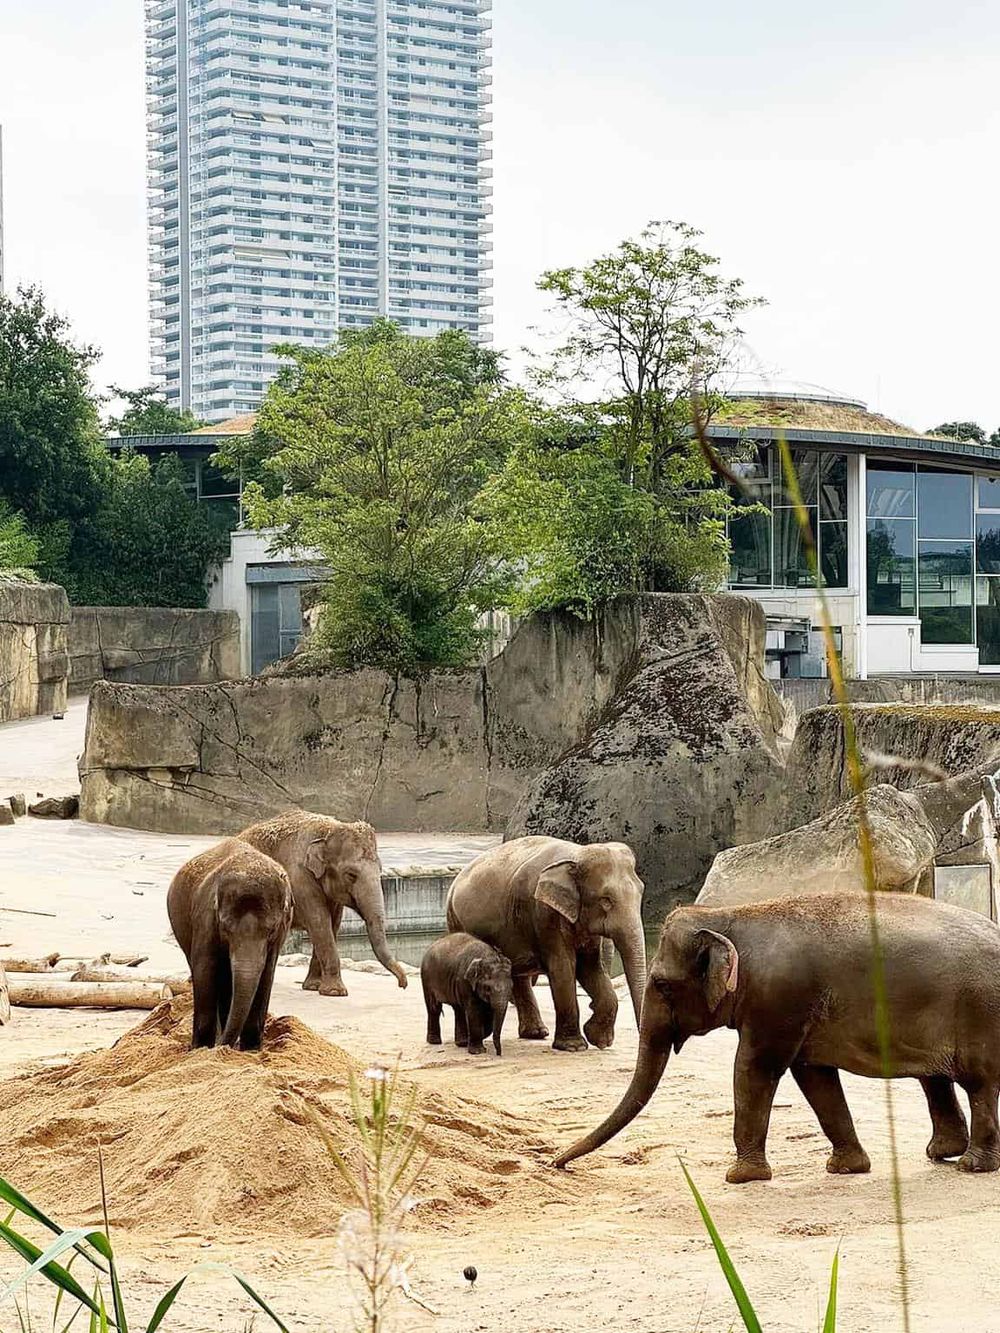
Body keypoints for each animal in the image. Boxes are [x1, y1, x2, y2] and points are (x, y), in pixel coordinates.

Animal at [167, 838, 293, 1051]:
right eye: (225, 928)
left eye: (271, 930)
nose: (222, 1046)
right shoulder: (206, 919)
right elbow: (204, 968)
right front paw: (200, 1049)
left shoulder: (280, 934)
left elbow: (266, 973)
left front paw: (250, 1050)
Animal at [238, 811, 407, 996]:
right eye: (351, 874)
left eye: (380, 871)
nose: (403, 985)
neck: (326, 831)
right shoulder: (299, 879)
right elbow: (320, 923)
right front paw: (335, 992)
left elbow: (332, 925)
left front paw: (314, 987)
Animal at [446, 836, 646, 1052]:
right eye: (606, 900)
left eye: (641, 892)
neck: (577, 854)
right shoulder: (543, 913)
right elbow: (563, 967)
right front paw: (574, 1047)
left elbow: (590, 968)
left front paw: (599, 1040)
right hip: (456, 921)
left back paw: (536, 1033)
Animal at [555, 893, 1000, 1180]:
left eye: (662, 985)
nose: (556, 1162)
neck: (729, 916)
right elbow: (814, 1077)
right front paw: (846, 1169)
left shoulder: (779, 998)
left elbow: (754, 1068)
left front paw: (740, 1177)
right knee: (935, 1078)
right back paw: (943, 1153)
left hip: (980, 1009)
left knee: (978, 1081)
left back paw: (972, 1165)